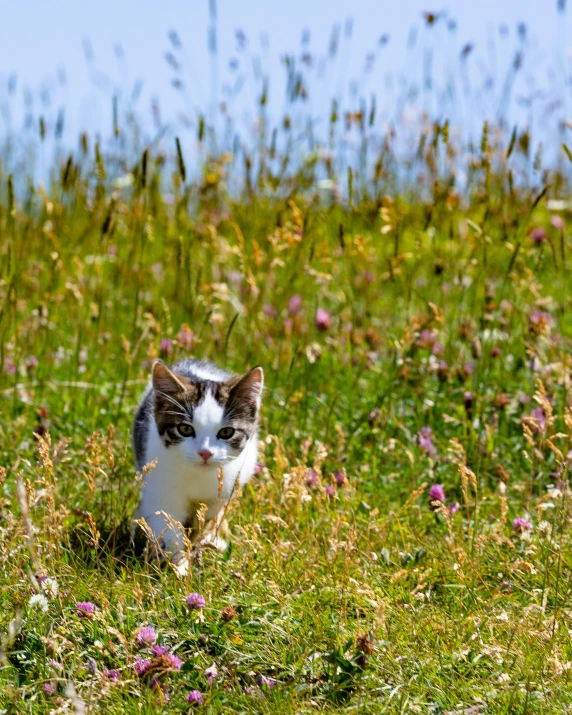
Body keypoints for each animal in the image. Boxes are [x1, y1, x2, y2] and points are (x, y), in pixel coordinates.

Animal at [132, 358, 264, 576]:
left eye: (226, 432)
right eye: (185, 429)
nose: (205, 453)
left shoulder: (221, 493)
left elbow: (206, 522)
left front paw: (200, 546)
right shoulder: (160, 489)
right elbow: (167, 523)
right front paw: (180, 568)